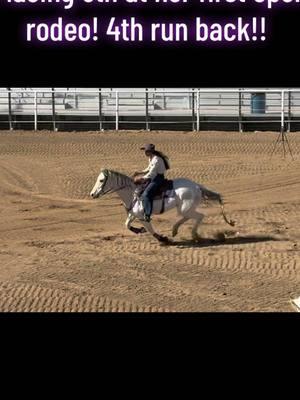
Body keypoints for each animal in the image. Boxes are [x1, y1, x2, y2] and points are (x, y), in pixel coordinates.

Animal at [89, 168, 234, 242]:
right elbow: (127, 225)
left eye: (101, 180)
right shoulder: (133, 214)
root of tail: (197, 186)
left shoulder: (143, 216)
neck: (133, 193)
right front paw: (139, 230)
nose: (92, 194)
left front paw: (162, 238)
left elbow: (150, 229)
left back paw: (194, 235)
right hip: (184, 209)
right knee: (188, 217)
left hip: (186, 208)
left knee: (199, 216)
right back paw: (175, 230)